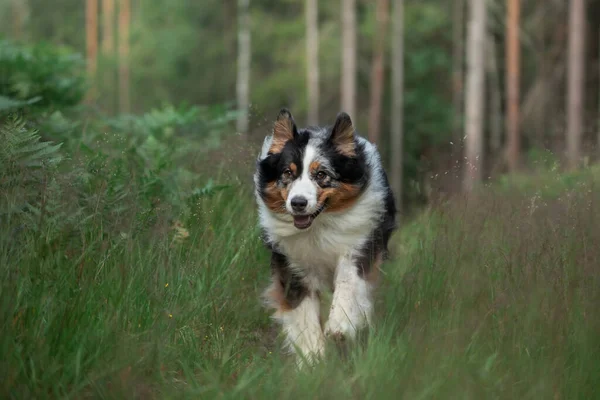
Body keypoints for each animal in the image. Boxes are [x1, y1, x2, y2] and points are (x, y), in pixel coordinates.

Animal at [254, 108, 398, 366]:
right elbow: (303, 311)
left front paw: (340, 326)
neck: (318, 227)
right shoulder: (293, 264)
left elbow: (348, 284)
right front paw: (313, 357)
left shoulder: (358, 246)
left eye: (321, 174)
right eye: (287, 173)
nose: (298, 203)